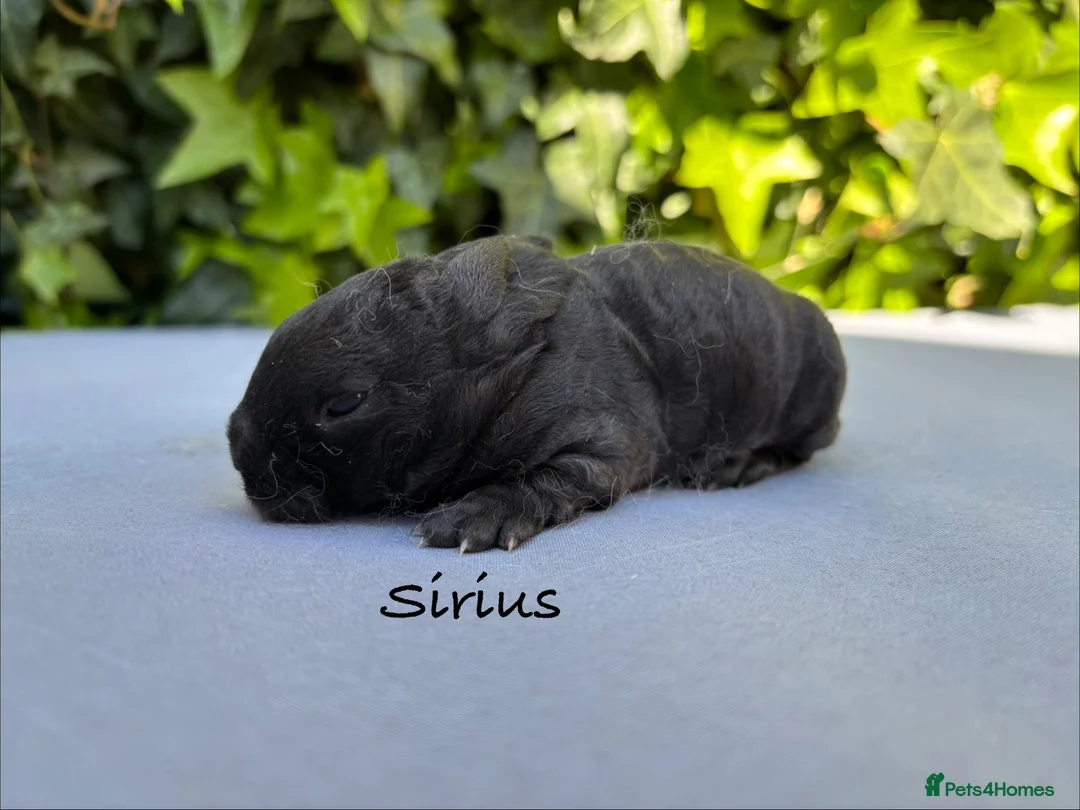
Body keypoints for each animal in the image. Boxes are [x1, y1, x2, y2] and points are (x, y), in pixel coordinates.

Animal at [227, 235, 846, 552]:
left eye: (344, 404)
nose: (242, 458)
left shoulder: (602, 440)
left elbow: (546, 478)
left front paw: (471, 518)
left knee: (797, 449)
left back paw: (736, 464)